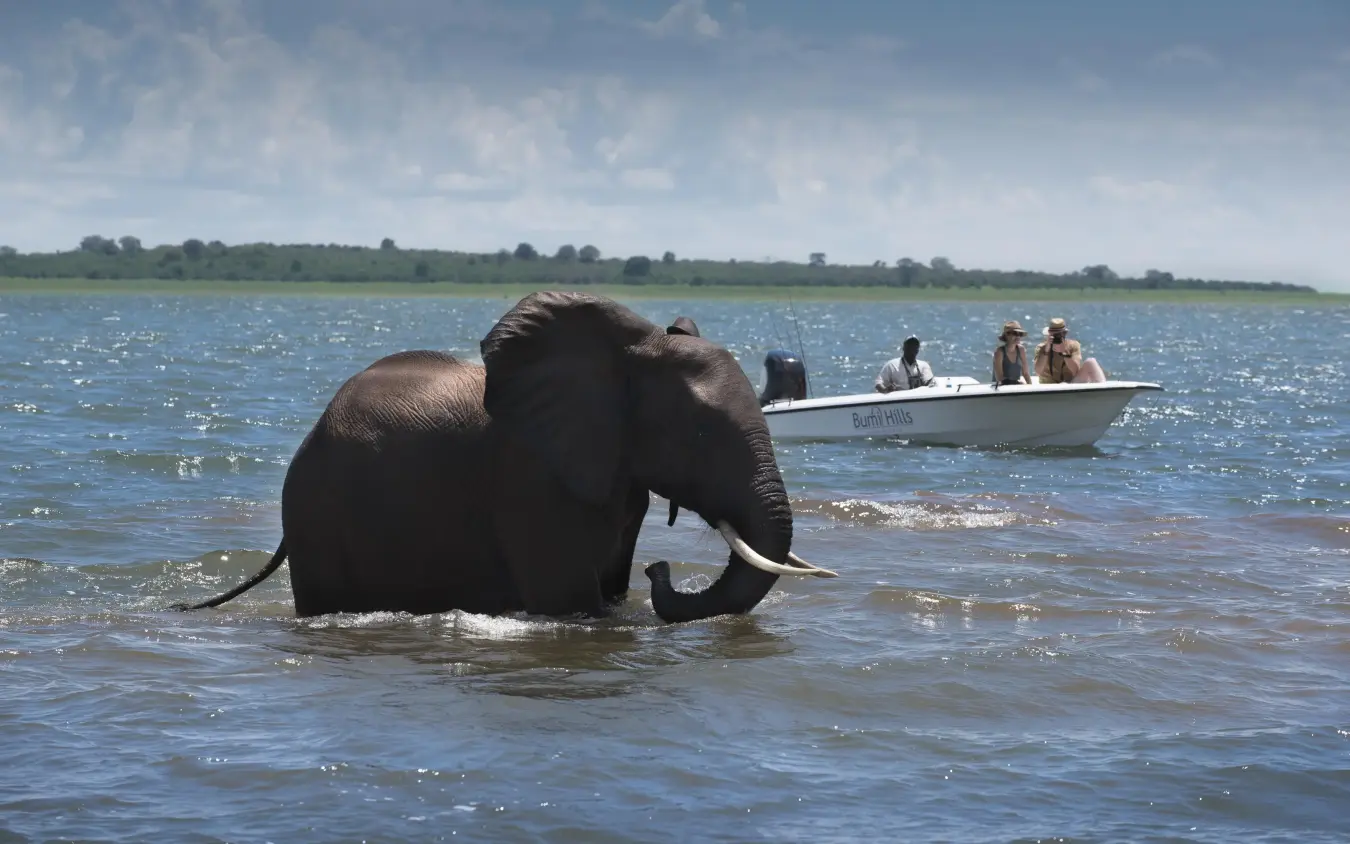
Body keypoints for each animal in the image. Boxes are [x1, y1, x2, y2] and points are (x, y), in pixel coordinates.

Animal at [172, 291, 834, 624]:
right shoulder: (529, 478)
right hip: (318, 520)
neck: (629, 350)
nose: (660, 570)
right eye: (699, 435)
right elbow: (571, 602)